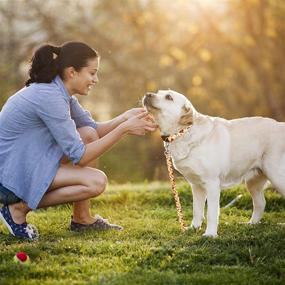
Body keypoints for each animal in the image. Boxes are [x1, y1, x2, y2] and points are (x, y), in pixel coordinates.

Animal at [142, 90, 284, 236]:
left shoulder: (212, 183)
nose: (148, 94)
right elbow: (197, 210)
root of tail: (281, 125)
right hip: (253, 182)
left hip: (277, 176)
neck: (182, 133)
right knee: (261, 203)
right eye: (158, 92)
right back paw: (251, 224)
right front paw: (194, 228)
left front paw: (210, 234)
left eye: (169, 97)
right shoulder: (196, 185)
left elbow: (211, 212)